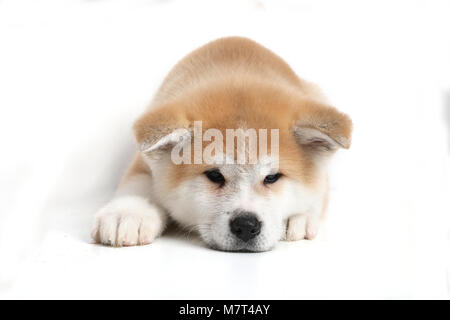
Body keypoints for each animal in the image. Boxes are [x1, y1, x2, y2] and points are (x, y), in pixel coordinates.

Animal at [90, 37, 352, 252]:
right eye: (214, 175)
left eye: (272, 177)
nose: (246, 225)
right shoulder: (144, 157)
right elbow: (137, 183)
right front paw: (127, 212)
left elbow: (318, 188)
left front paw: (298, 216)